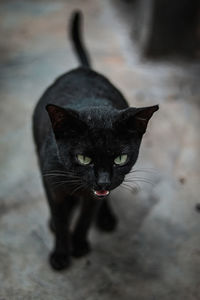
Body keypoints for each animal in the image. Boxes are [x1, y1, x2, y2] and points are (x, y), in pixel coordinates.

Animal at [32, 11, 159, 272]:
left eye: (120, 158)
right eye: (84, 158)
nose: (103, 181)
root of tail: (82, 69)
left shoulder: (94, 197)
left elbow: (85, 218)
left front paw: (80, 245)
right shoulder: (51, 182)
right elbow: (61, 220)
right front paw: (61, 254)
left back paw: (106, 217)